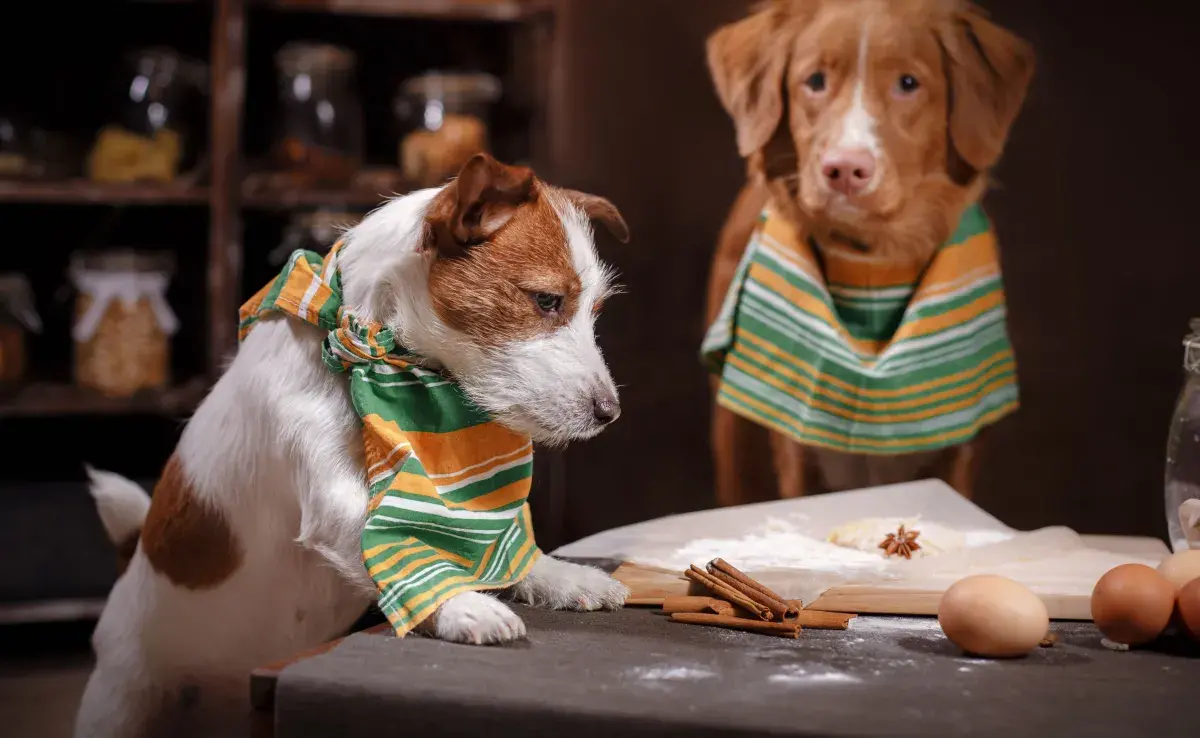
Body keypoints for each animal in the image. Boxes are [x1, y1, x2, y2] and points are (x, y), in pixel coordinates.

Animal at [73, 154, 633, 738]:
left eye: (594, 310)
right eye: (547, 300)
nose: (610, 412)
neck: (380, 356)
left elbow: (491, 546)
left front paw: (560, 576)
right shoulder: (333, 498)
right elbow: (411, 549)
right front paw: (462, 606)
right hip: (119, 702)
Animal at [700, 0, 1032, 506]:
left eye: (908, 83)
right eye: (815, 80)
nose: (844, 169)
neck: (873, 269)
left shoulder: (962, 449)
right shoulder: (793, 449)